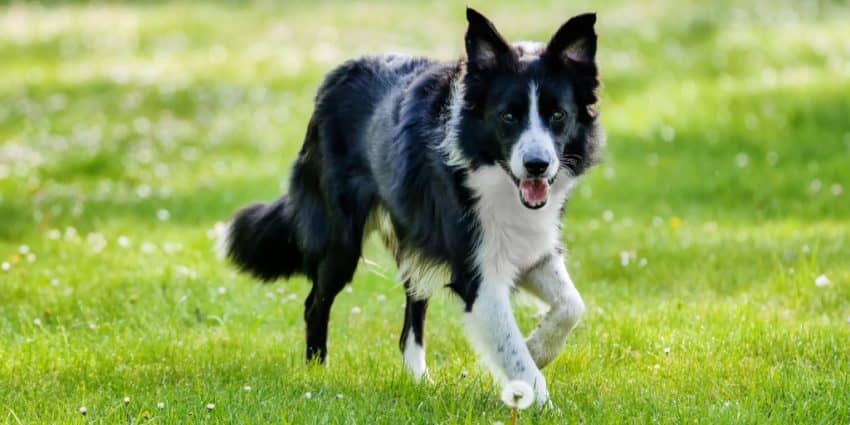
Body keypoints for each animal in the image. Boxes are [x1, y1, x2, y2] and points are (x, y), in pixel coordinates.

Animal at [222, 8, 600, 402]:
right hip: (340, 242)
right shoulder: (476, 274)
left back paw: (418, 378)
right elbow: (513, 351)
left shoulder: (531, 248)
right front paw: (536, 396)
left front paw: (538, 348)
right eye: (508, 116)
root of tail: (336, 75)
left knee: (413, 310)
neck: (493, 173)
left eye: (558, 115)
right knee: (315, 303)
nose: (537, 165)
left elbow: (572, 305)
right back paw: (316, 374)